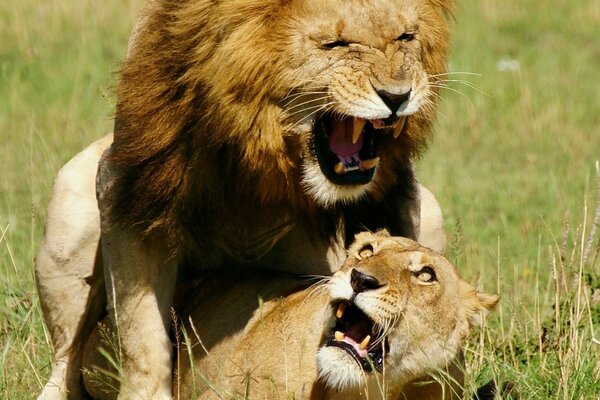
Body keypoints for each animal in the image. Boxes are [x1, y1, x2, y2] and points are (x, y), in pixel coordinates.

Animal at [36, 0, 450, 400]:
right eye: (336, 44)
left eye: (405, 37)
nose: (398, 97)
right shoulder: (129, 188)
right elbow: (142, 334)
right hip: (70, 207)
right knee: (67, 358)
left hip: (430, 209)